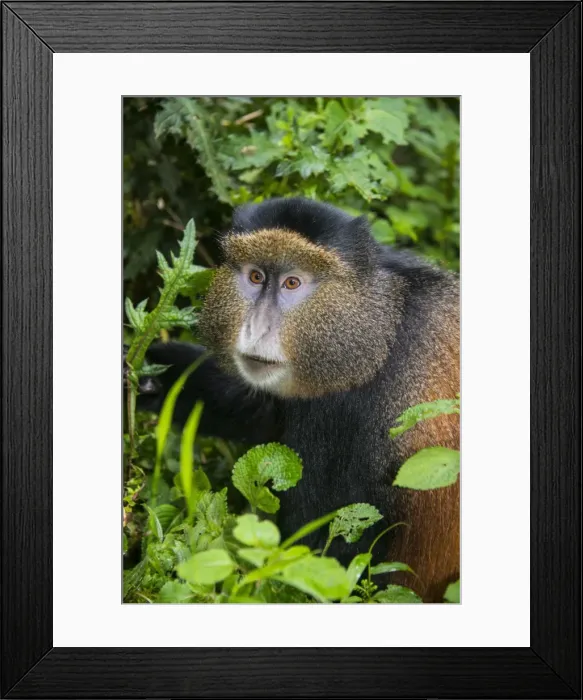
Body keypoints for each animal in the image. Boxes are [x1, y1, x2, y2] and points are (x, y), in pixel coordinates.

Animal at [136, 197, 460, 602]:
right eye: (256, 277)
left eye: (292, 282)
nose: (257, 328)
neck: (382, 328)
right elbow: (261, 412)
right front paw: (146, 375)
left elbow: (328, 556)